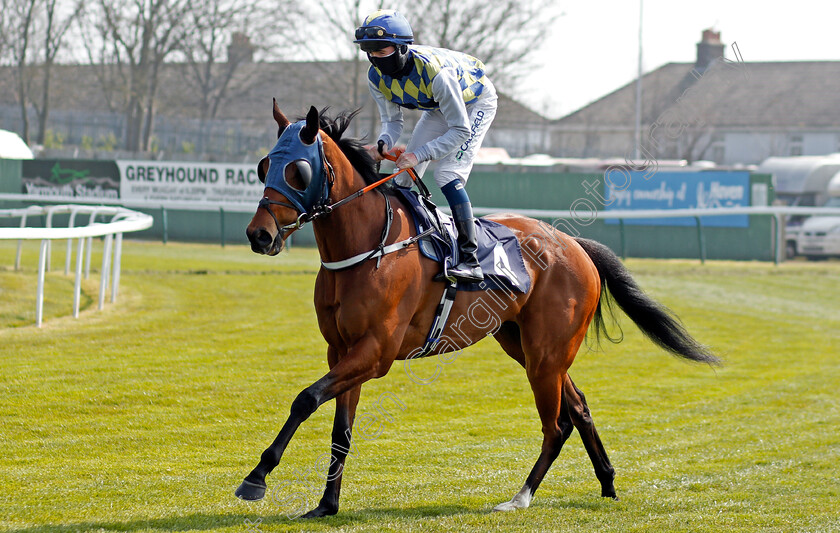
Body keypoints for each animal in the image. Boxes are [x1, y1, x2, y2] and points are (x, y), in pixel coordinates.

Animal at [240, 102, 720, 516]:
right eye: (264, 165)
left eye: (297, 170)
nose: (259, 235)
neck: (368, 247)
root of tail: (574, 244)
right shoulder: (341, 349)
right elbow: (340, 429)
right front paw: (326, 505)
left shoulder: (375, 353)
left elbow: (305, 398)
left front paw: (256, 477)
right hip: (525, 345)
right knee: (579, 407)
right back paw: (606, 482)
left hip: (546, 354)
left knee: (556, 425)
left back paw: (521, 497)